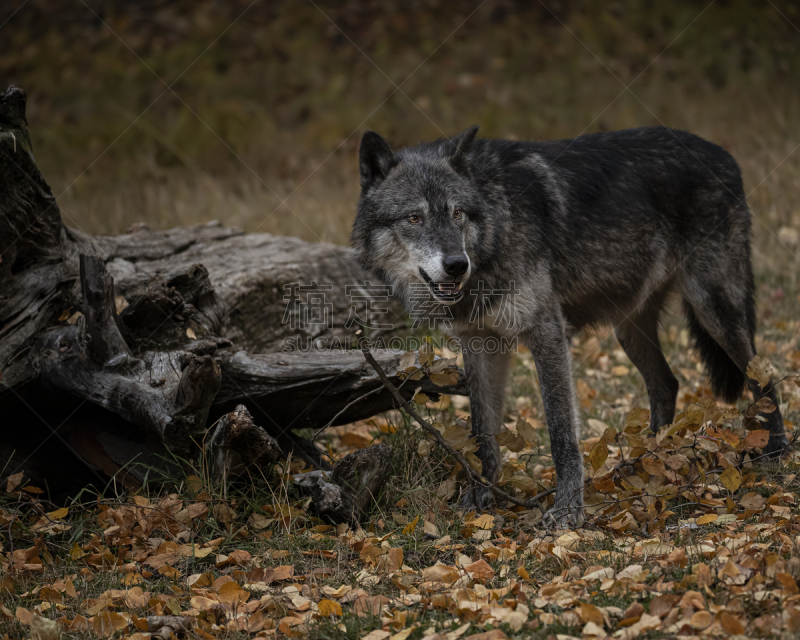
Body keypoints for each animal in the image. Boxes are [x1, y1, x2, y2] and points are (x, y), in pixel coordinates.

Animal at [350, 125, 788, 524]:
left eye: (457, 213)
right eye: (414, 217)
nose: (457, 265)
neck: (498, 222)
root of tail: (722, 153)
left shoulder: (547, 332)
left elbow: (561, 431)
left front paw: (567, 512)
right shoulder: (481, 343)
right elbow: (481, 432)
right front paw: (481, 499)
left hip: (714, 309)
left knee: (762, 375)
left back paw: (775, 453)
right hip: (629, 331)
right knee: (668, 383)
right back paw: (647, 461)